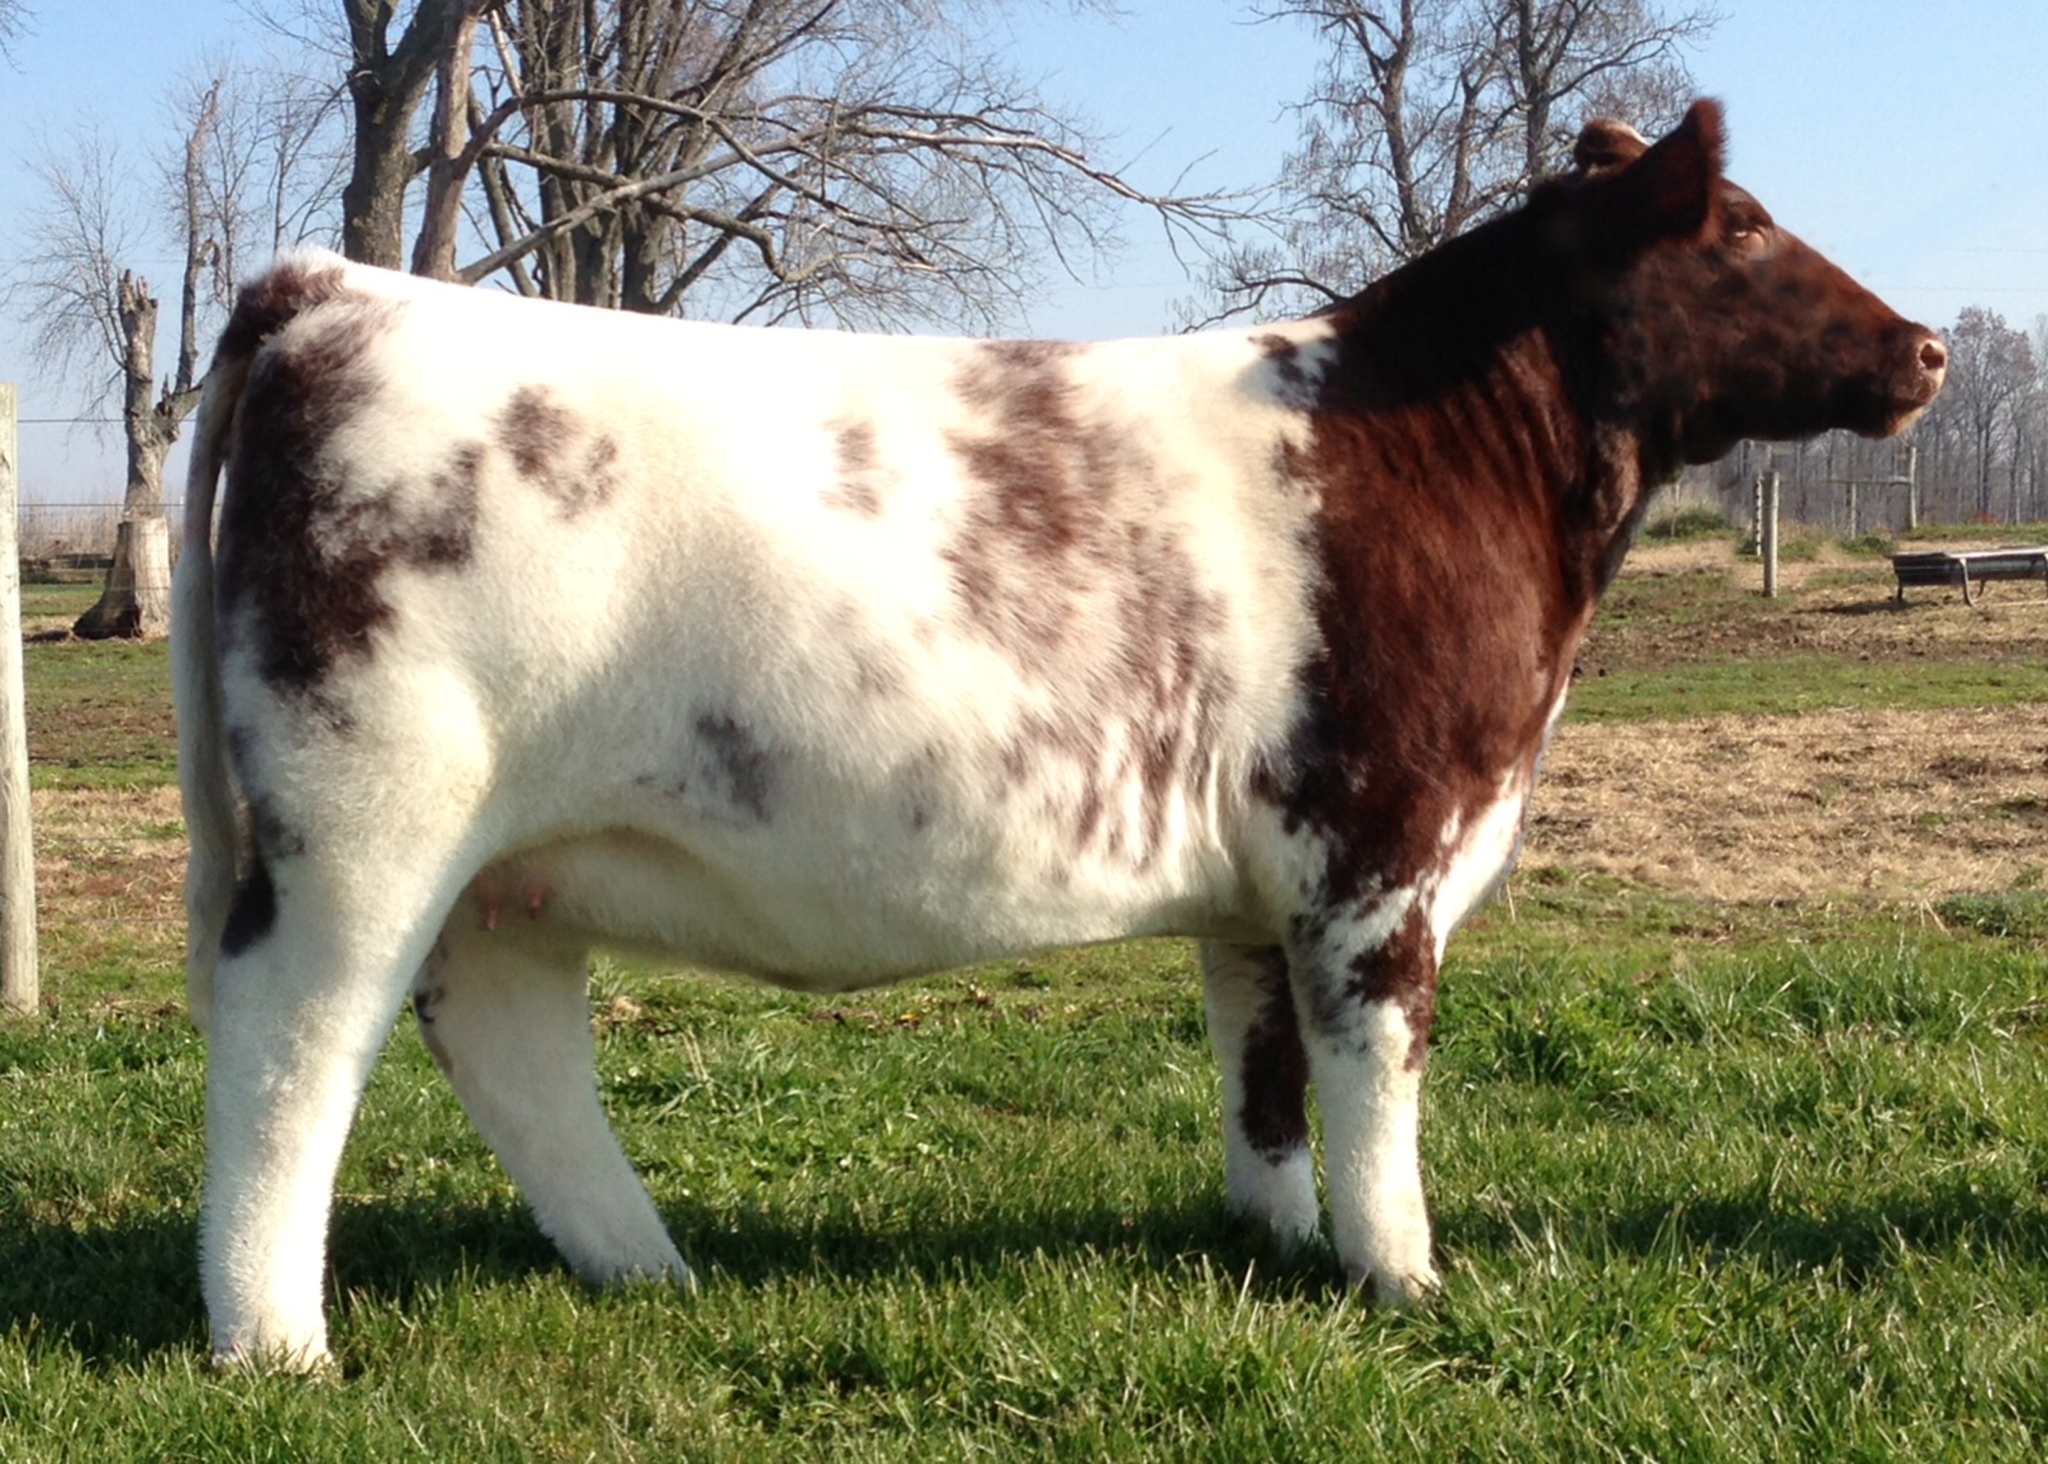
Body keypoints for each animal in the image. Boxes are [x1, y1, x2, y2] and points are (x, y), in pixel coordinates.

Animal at [173, 101, 1945, 1368]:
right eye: (1741, 228)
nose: (1926, 346)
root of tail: (332, 287)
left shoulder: (1265, 884)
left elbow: (1264, 1071)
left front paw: (1276, 1244)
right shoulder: (1379, 848)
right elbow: (1378, 1073)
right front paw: (1405, 1279)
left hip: (511, 864)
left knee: (510, 1045)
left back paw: (652, 1272)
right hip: (363, 813)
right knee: (294, 1042)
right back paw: (276, 1346)